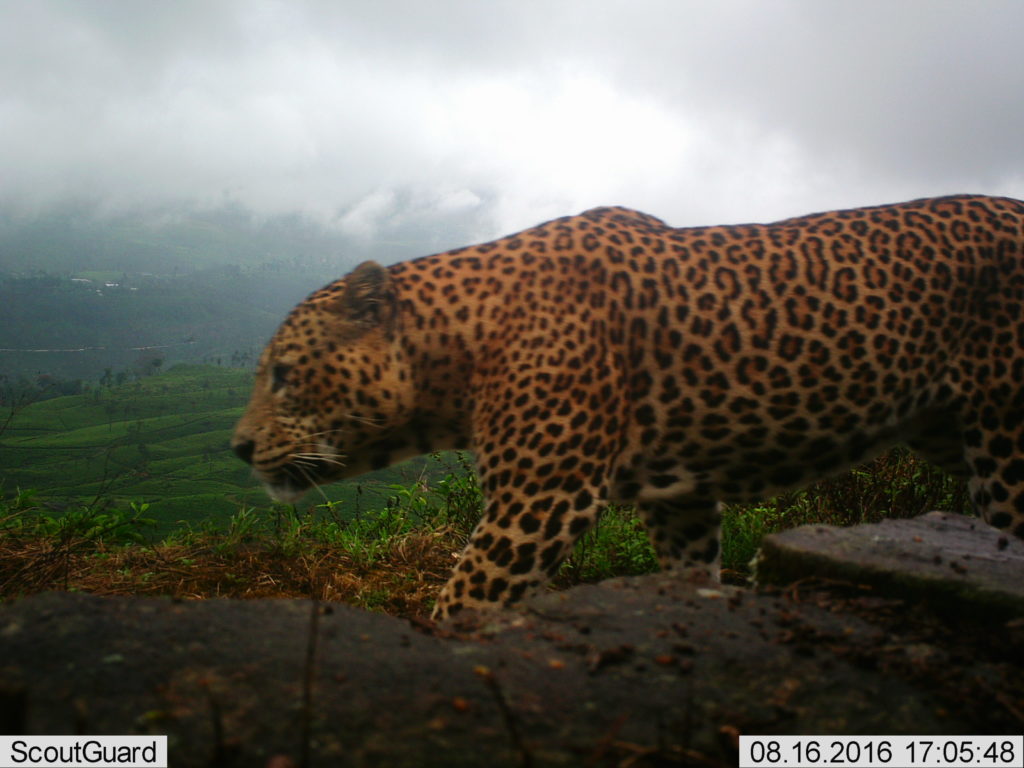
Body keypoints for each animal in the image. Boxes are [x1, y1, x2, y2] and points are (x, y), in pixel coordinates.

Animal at [232, 194, 1024, 620]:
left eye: (283, 374)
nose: (237, 448)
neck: (459, 346)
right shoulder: (680, 498)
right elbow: (692, 579)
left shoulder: (538, 500)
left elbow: (464, 603)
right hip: (951, 434)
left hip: (1006, 437)